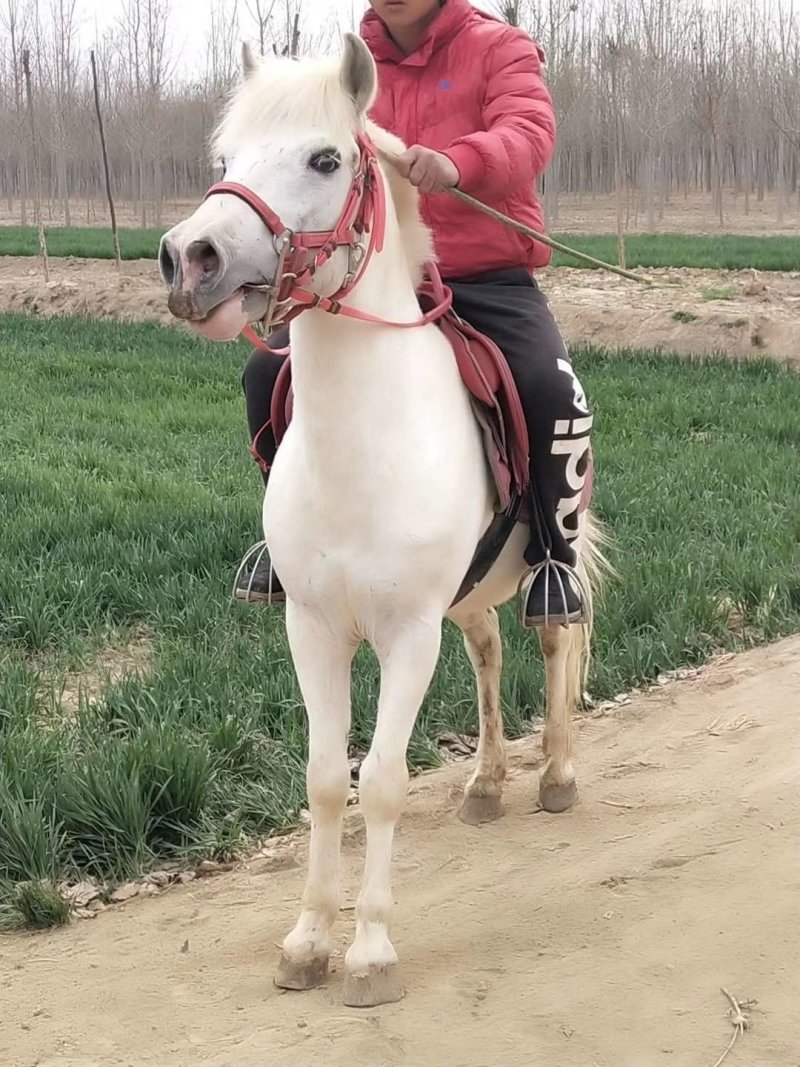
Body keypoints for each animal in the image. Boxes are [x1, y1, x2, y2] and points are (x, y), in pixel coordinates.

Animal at [159, 34, 605, 1008]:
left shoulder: (406, 634)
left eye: (327, 159)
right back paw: (486, 782)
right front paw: (305, 941)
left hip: (543, 561)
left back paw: (555, 772)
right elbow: (330, 780)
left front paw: (369, 954)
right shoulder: (314, 627)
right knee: (488, 655)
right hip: (466, 599)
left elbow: (388, 780)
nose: (188, 258)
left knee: (555, 640)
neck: (361, 444)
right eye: (225, 159)